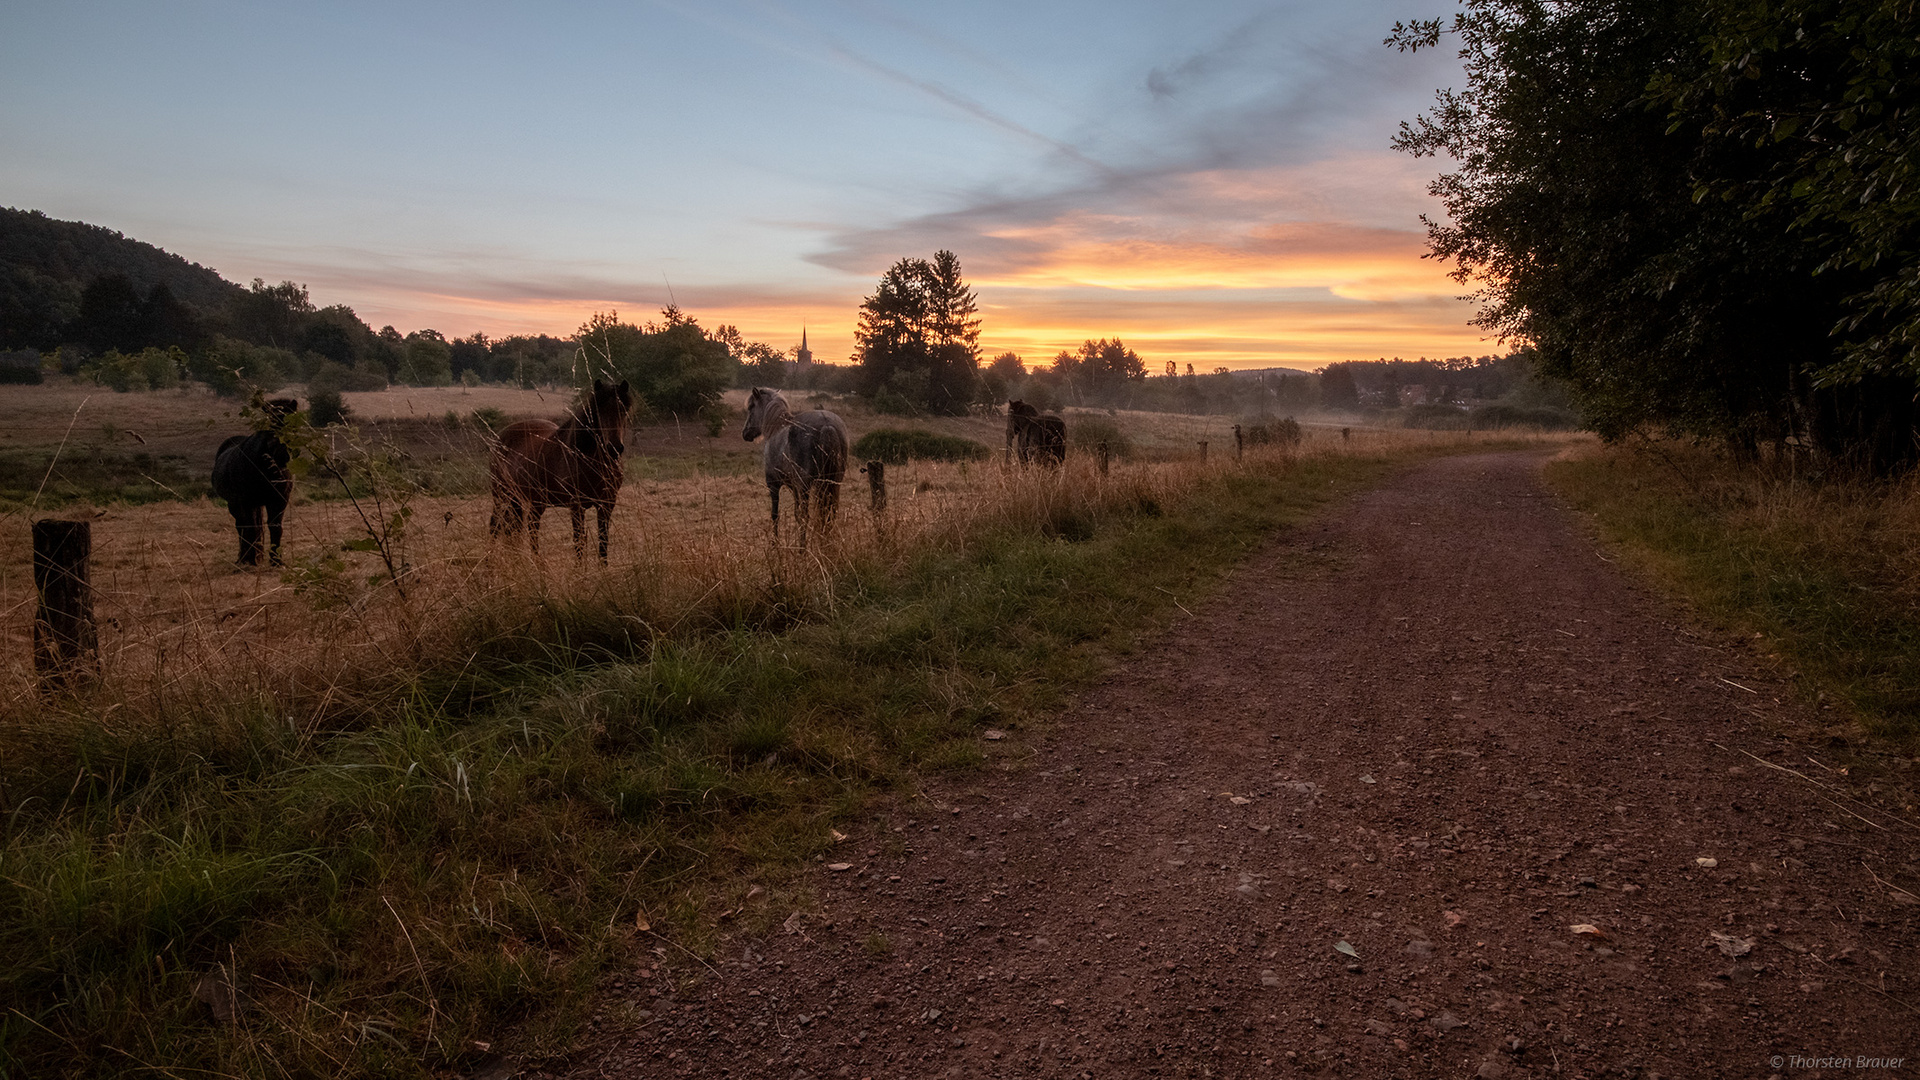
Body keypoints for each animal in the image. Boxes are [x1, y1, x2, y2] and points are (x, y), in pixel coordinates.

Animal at [212, 395, 297, 564]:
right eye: (271, 421)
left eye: (292, 422)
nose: (283, 455)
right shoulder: (247, 501)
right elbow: (251, 528)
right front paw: (251, 560)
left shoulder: (279, 499)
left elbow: (275, 527)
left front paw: (276, 561)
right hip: (234, 504)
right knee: (242, 526)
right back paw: (243, 557)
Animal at [491, 378, 633, 557]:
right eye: (599, 412)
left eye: (624, 411)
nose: (614, 448)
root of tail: (500, 437)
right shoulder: (576, 505)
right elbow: (579, 542)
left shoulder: (606, 504)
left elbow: (603, 543)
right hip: (500, 495)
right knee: (496, 526)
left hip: (526, 500)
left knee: (525, 529)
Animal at [741, 384, 848, 549]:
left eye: (751, 407)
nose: (745, 433)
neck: (777, 429)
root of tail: (827, 424)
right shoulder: (794, 487)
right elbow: (796, 514)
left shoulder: (773, 484)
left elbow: (775, 515)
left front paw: (775, 544)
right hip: (833, 483)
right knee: (830, 513)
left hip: (806, 486)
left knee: (806, 516)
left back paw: (802, 549)